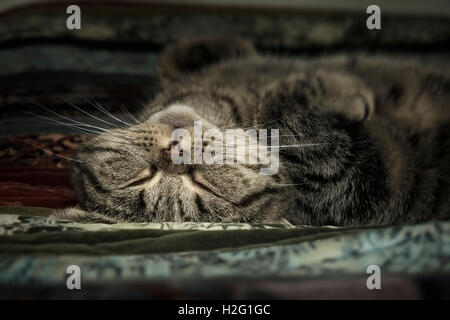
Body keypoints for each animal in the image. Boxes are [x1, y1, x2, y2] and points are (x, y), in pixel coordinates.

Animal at [51, 36, 446, 226]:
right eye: (142, 179)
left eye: (202, 184)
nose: (176, 156)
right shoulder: (362, 178)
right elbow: (292, 109)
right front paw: (347, 95)